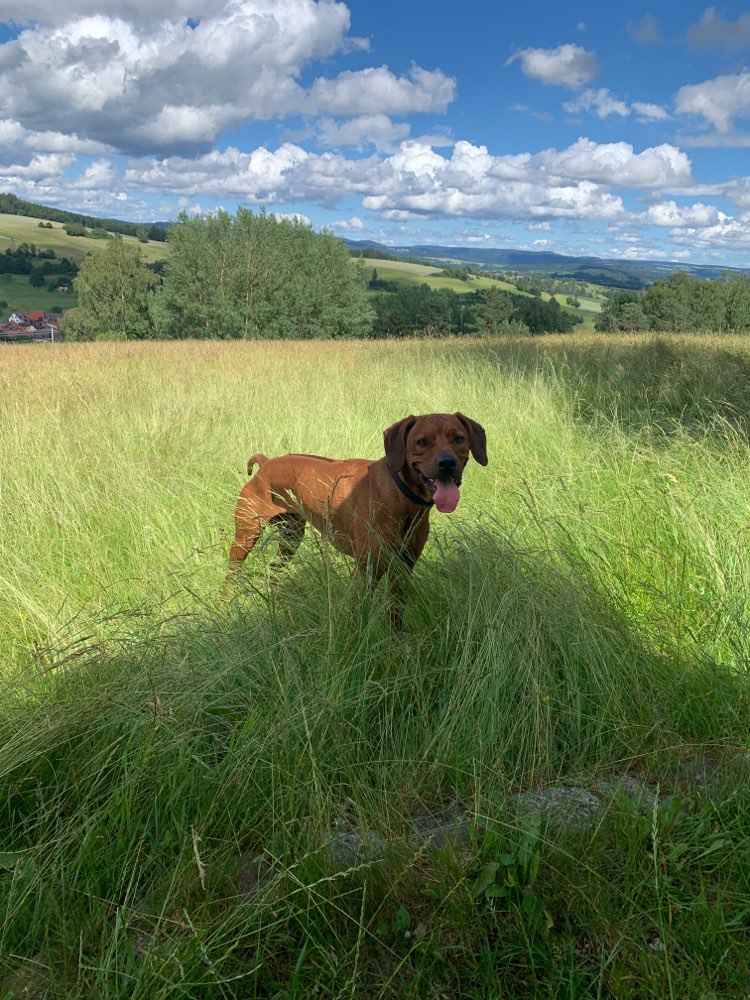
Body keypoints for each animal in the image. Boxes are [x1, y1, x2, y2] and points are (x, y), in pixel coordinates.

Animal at [226, 412, 490, 624]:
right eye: (422, 442)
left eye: (459, 438)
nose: (447, 463)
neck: (400, 494)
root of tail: (266, 463)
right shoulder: (366, 572)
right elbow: (356, 620)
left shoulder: (403, 569)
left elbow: (395, 614)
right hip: (246, 537)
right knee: (232, 572)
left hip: (290, 538)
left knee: (273, 568)